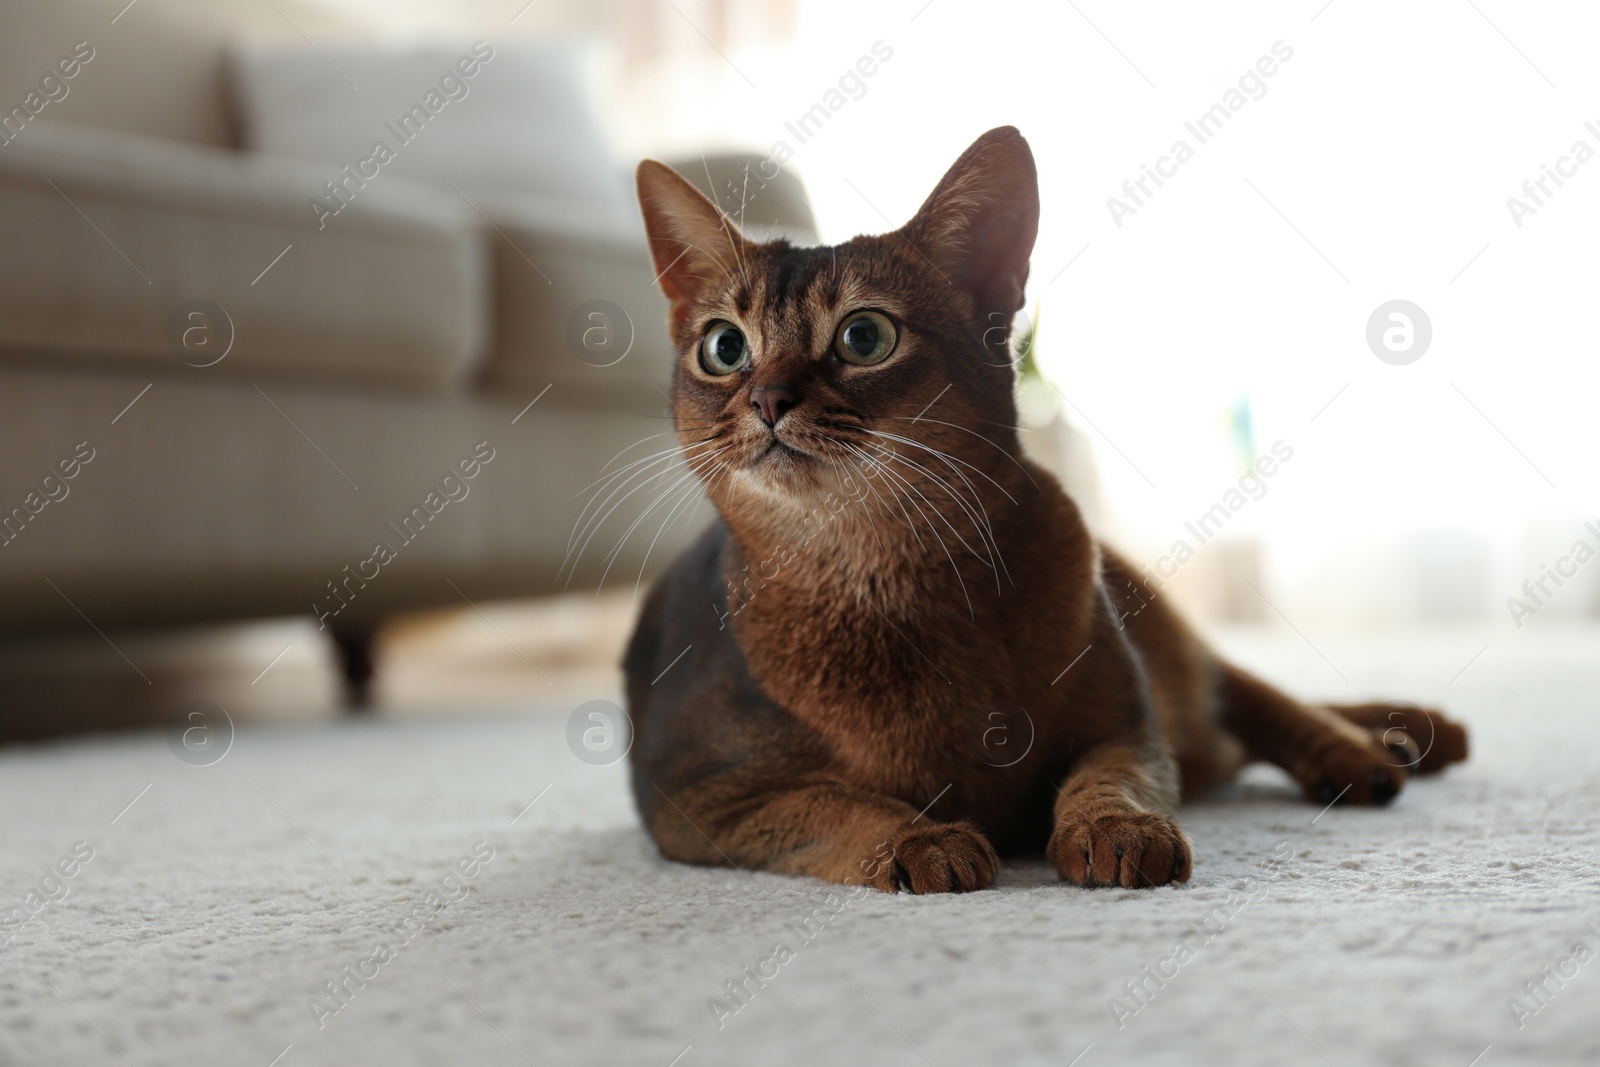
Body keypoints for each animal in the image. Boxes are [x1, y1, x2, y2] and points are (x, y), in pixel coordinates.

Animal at [617, 125, 1465, 895]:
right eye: (725, 348)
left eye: (864, 335)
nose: (766, 399)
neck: (888, 569)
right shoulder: (698, 797)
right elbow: (836, 803)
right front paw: (920, 840)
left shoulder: (1130, 724)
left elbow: (1109, 775)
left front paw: (1117, 826)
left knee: (1248, 694)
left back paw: (1381, 745)